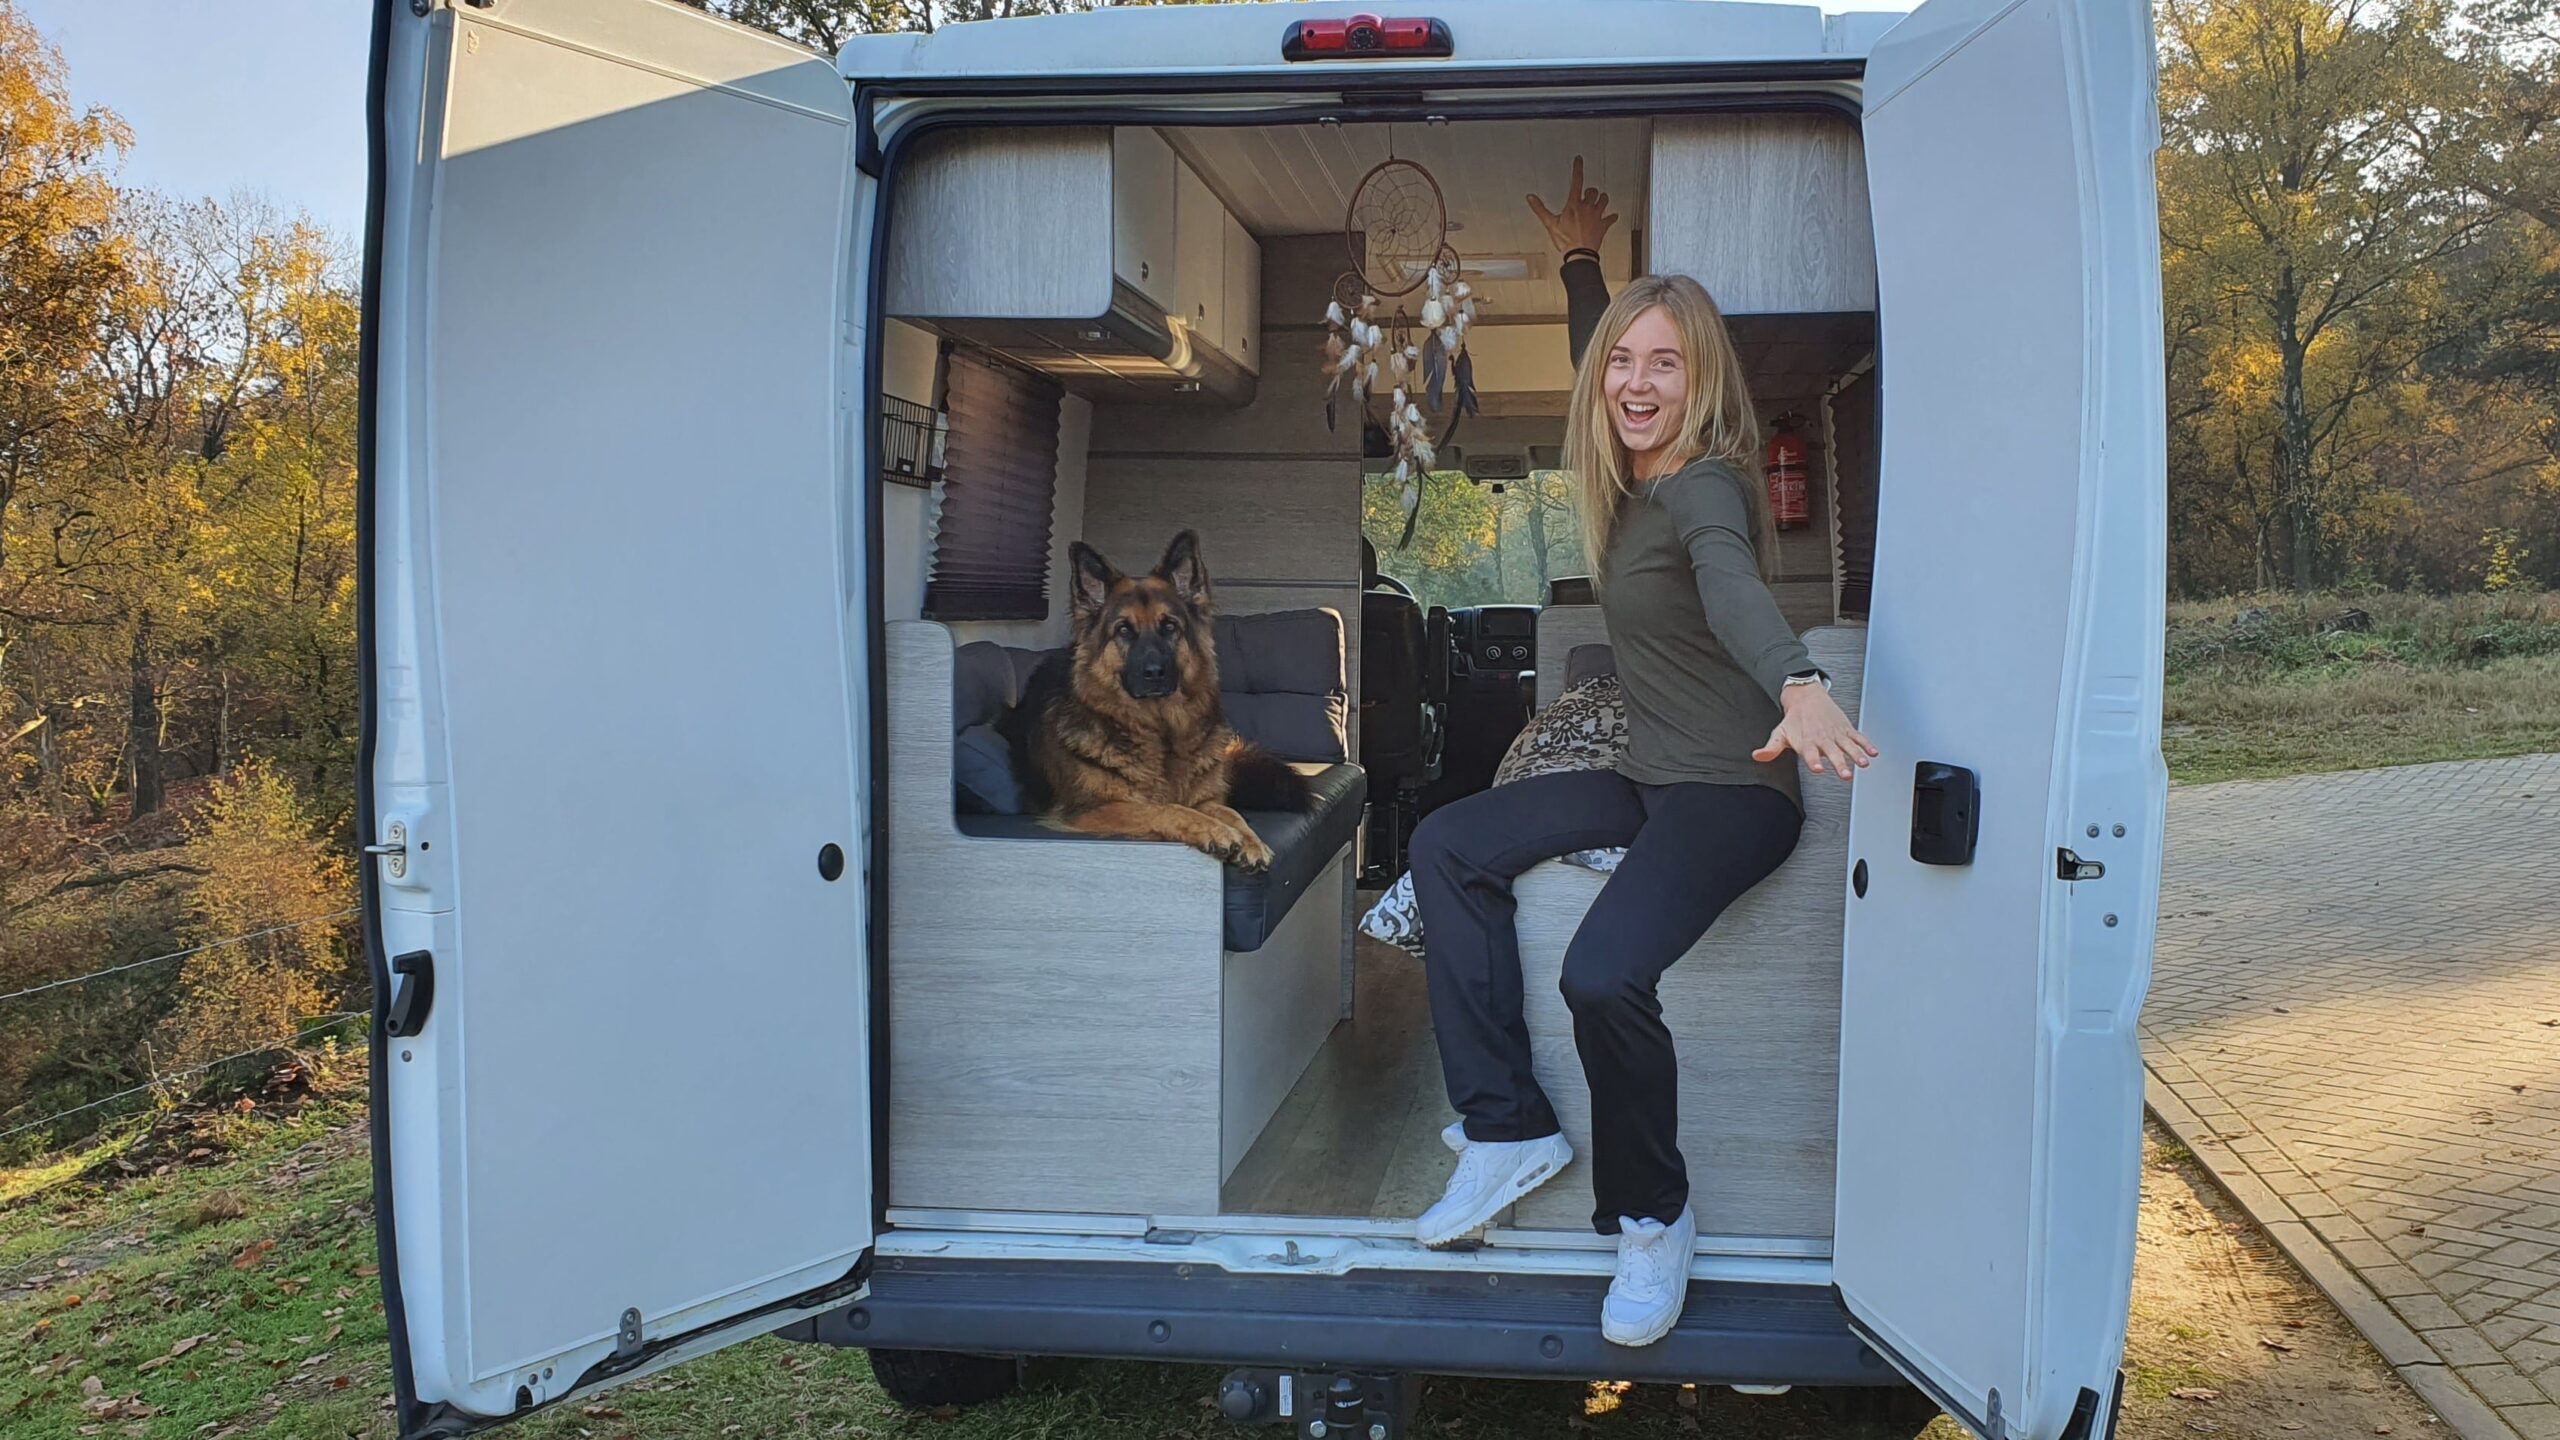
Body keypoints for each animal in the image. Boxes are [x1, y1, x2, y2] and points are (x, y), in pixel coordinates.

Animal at [1003, 527, 1320, 860]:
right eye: (1124, 630)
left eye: (1169, 626)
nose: (1154, 672)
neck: (1160, 728)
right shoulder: (1092, 809)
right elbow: (1164, 808)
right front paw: (1214, 830)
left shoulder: (1205, 800)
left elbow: (1231, 813)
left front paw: (1250, 839)